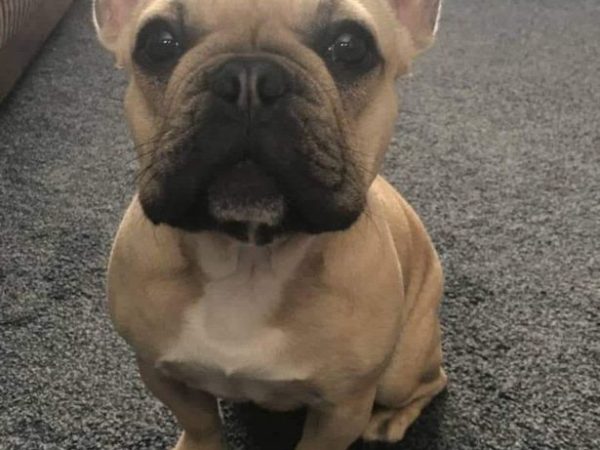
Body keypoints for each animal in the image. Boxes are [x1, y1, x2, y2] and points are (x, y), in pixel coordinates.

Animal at [94, 0, 447, 449]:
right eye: (158, 43)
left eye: (351, 47)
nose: (249, 78)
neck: (248, 258)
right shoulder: (159, 371)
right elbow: (200, 421)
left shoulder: (343, 408)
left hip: (399, 371)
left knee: (431, 382)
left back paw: (389, 422)